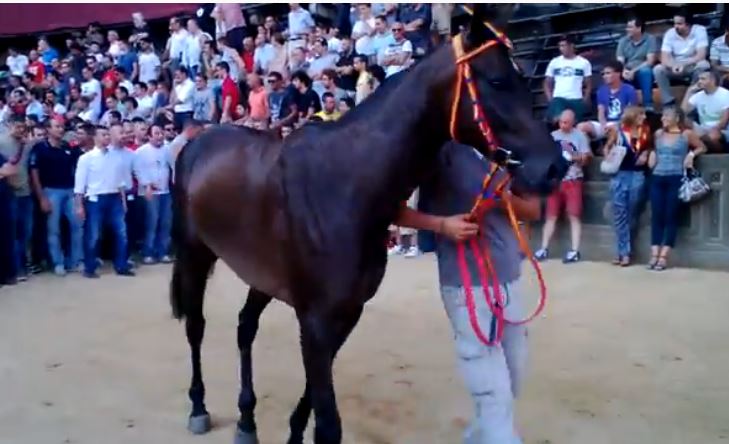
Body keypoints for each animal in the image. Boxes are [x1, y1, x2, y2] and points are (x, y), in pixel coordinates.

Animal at [169, 5, 569, 444]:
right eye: (497, 80)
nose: (554, 167)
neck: (348, 183)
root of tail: (196, 141)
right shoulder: (315, 318)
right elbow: (328, 421)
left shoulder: (346, 311)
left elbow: (313, 396)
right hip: (195, 254)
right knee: (196, 326)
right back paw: (198, 406)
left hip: (262, 274)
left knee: (245, 327)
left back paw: (246, 420)